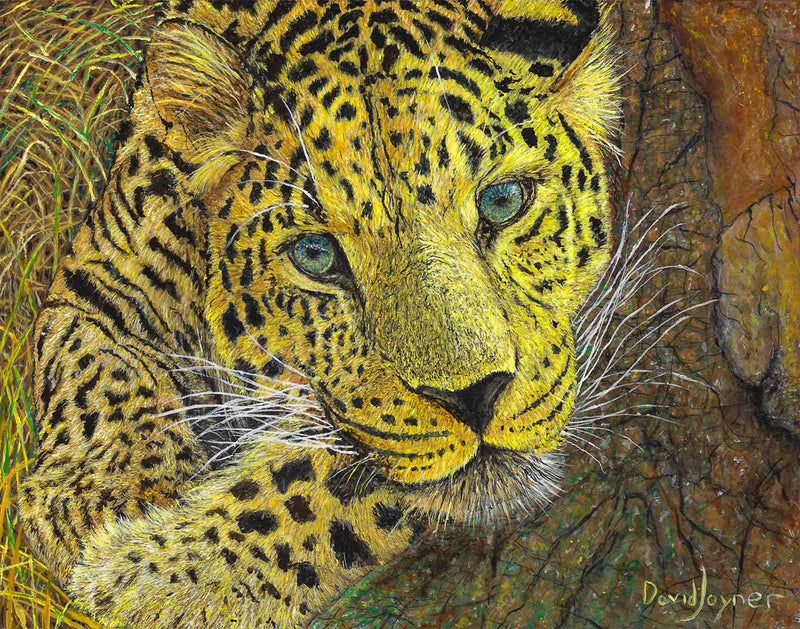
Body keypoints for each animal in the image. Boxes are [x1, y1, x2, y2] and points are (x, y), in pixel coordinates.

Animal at [17, 0, 620, 626]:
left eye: (503, 202)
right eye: (315, 255)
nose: (474, 396)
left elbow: (326, 477)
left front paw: (159, 579)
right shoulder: (97, 277)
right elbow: (97, 366)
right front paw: (102, 496)